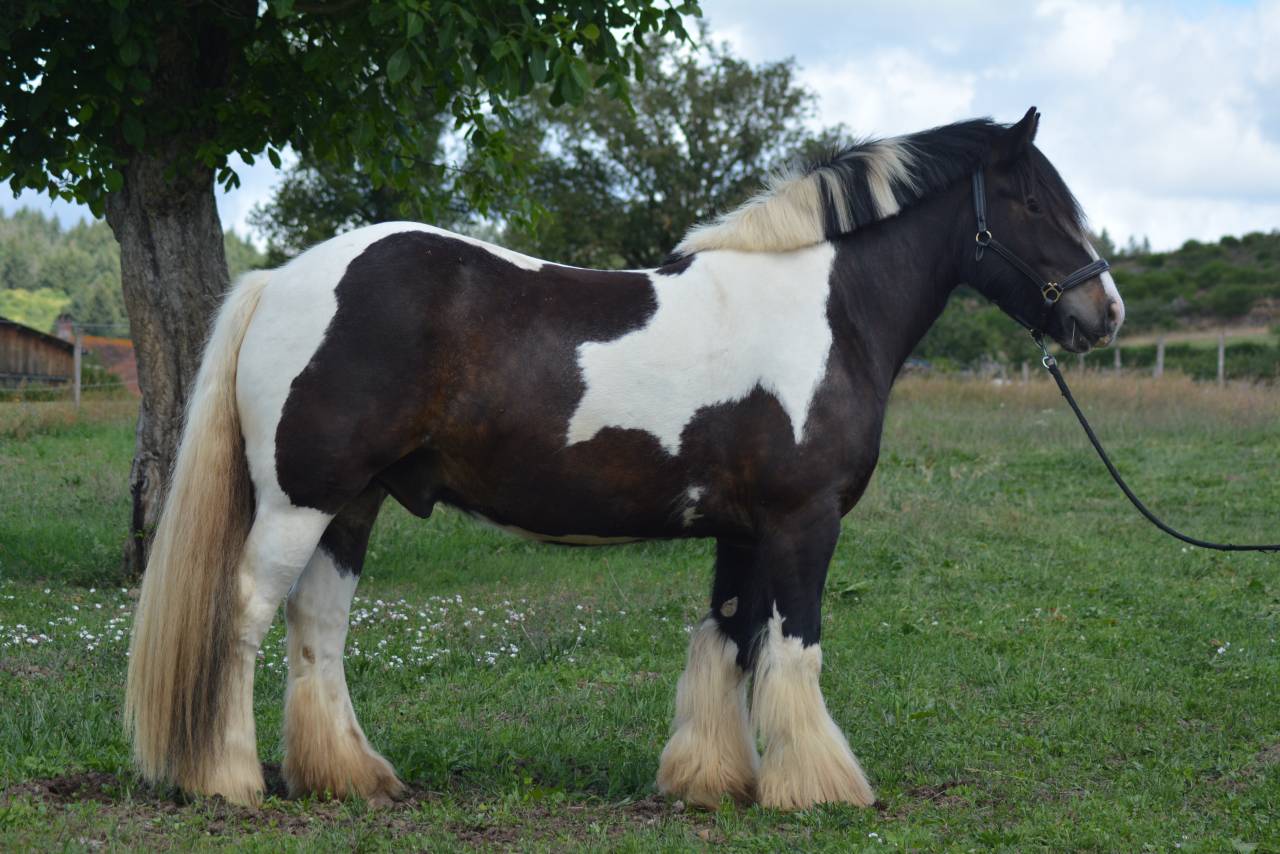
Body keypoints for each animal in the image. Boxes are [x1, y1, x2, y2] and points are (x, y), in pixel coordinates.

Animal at [125, 107, 1124, 810]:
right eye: (1035, 203)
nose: (1103, 312)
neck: (825, 313)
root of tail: (281, 280)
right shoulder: (802, 521)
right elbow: (794, 647)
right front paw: (820, 789)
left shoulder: (745, 530)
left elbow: (731, 640)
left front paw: (715, 783)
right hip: (301, 500)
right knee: (245, 615)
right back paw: (230, 779)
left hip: (355, 503)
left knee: (319, 627)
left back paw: (352, 778)